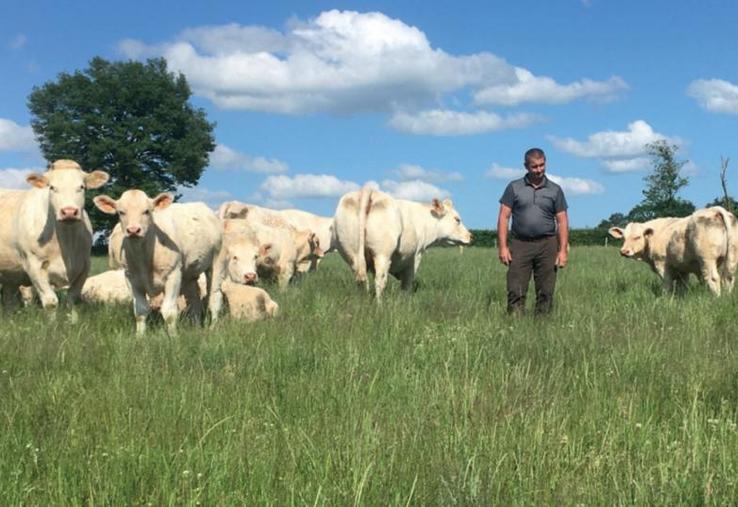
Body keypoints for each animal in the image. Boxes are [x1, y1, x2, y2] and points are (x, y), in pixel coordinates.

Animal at [0, 161, 109, 316]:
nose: (69, 212)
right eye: (52, 187)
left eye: (81, 187)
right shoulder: (34, 265)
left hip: (9, 272)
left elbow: (72, 300)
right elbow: (51, 303)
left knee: (10, 300)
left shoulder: (84, 265)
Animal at [94, 189, 224, 336]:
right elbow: (140, 310)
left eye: (147, 211)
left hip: (217, 262)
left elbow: (169, 312)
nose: (133, 230)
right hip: (189, 273)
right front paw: (140, 336)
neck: (144, 256)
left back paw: (213, 327)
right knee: (194, 299)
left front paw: (173, 337)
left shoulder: (173, 275)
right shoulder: (131, 278)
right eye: (121, 212)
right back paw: (195, 326)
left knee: (215, 296)